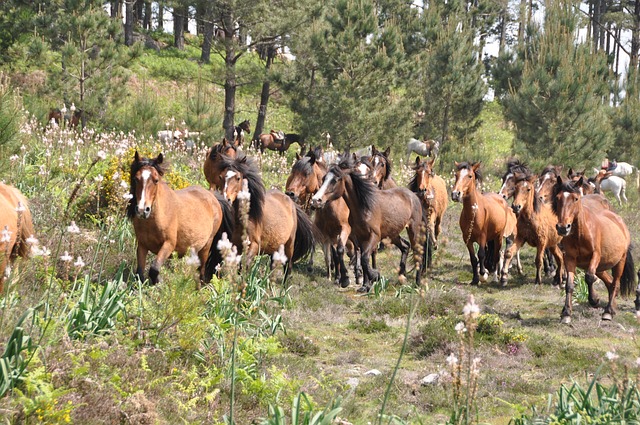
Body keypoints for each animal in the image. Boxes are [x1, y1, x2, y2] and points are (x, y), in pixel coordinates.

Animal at [127, 151, 232, 286]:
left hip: (206, 246)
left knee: (201, 270)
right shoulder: (142, 246)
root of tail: (213, 197)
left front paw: (159, 283)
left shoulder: (169, 244)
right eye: (136, 178)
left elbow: (154, 269)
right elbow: (140, 273)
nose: (142, 210)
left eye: (156, 180)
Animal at [310, 153, 424, 292]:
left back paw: (417, 282)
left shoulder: (374, 236)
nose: (316, 200)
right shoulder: (360, 238)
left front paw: (374, 276)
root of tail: (413, 196)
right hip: (392, 234)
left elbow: (364, 258)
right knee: (405, 246)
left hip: (413, 229)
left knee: (417, 251)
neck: (364, 207)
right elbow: (363, 258)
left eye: (335, 180)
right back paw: (402, 277)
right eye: (324, 178)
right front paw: (365, 285)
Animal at [552, 176, 636, 322]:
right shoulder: (569, 258)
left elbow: (589, 277)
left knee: (615, 283)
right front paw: (566, 313)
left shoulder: (595, 256)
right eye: (557, 198)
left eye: (576, 198)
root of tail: (618, 220)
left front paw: (594, 300)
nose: (563, 227)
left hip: (620, 261)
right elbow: (569, 285)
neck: (581, 234)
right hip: (601, 266)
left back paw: (608, 311)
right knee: (610, 282)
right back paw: (612, 307)